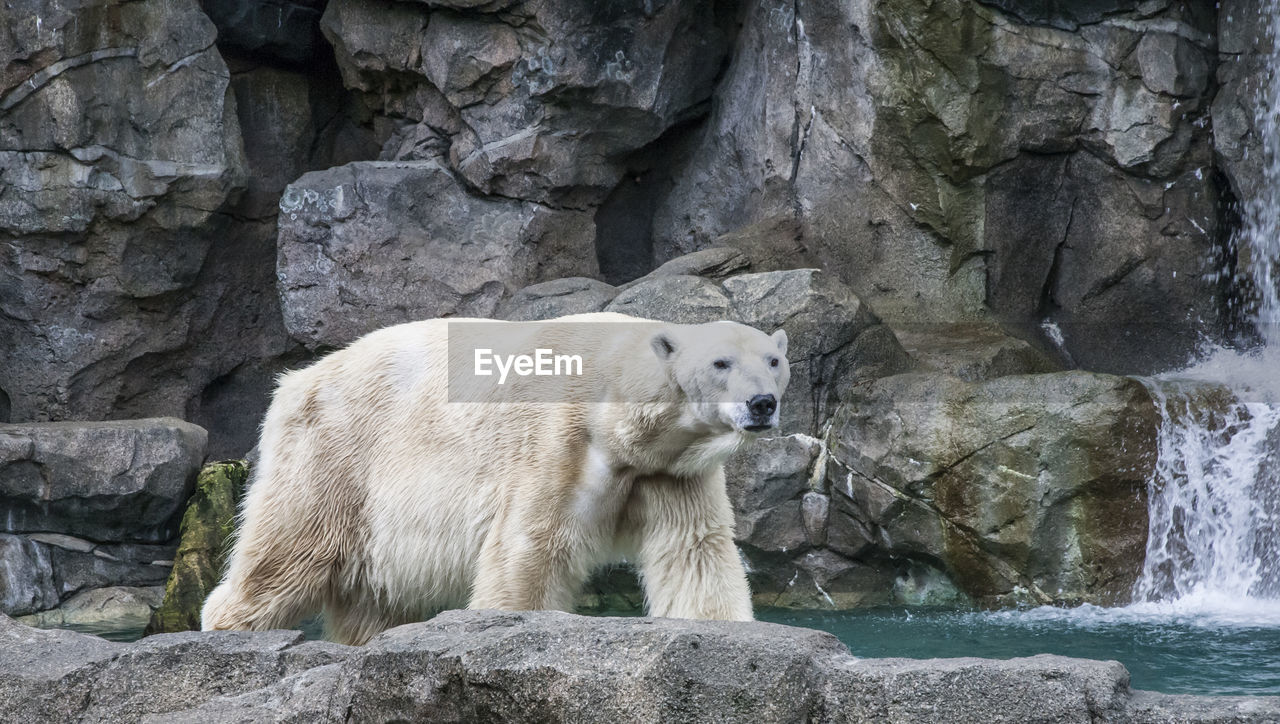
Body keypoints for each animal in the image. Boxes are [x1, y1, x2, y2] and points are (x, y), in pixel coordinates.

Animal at [199, 313, 788, 647]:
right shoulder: (558, 444)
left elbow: (696, 554)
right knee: (290, 549)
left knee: (376, 595)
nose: (763, 403)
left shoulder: (670, 471)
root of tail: (296, 379)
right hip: (337, 452)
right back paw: (230, 627)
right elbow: (528, 553)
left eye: (774, 360)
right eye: (721, 362)